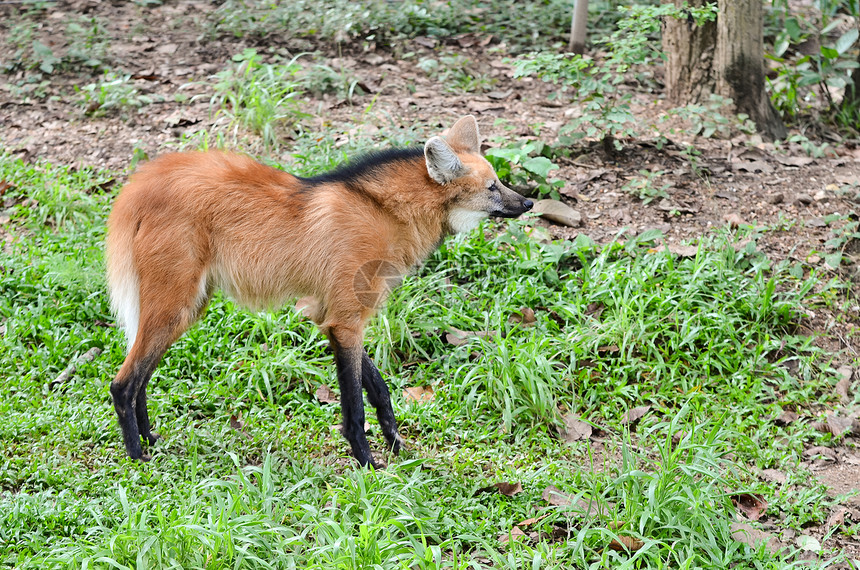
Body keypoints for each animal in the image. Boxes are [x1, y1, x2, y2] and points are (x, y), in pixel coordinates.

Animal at [106, 115, 536, 466]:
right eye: (492, 187)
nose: (529, 202)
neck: (385, 213)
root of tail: (138, 184)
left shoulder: (334, 315)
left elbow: (379, 389)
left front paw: (397, 446)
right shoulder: (344, 321)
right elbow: (355, 406)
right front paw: (368, 464)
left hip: (187, 307)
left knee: (141, 376)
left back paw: (150, 440)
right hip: (176, 305)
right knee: (123, 382)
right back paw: (137, 457)